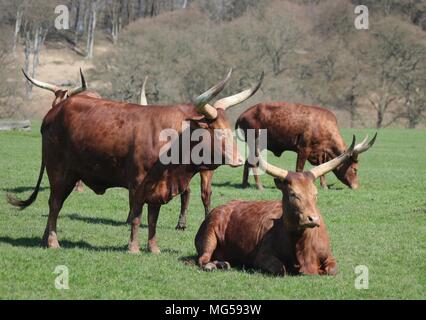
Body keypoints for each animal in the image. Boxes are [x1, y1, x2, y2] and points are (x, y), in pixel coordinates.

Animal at [8, 69, 262, 254]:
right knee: (54, 204)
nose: (239, 159)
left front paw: (154, 248)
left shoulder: (159, 189)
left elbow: (153, 219)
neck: (173, 141)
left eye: (229, 128)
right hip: (60, 172)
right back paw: (53, 242)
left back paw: (44, 239)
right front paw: (133, 248)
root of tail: (54, 112)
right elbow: (138, 217)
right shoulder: (139, 185)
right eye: (215, 130)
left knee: (54, 204)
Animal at [194, 135, 376, 276]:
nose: (312, 219)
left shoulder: (330, 256)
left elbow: (333, 270)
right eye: (293, 194)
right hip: (209, 235)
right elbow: (281, 269)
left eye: (315, 193)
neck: (303, 247)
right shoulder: (262, 256)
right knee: (203, 260)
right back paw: (217, 264)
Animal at [235, 103, 378, 190]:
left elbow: (322, 167)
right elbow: (299, 168)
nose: (355, 186)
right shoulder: (303, 148)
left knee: (248, 162)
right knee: (253, 163)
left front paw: (324, 186)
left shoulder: (321, 152)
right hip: (256, 143)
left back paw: (244, 184)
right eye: (355, 169)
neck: (323, 125)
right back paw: (259, 186)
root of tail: (243, 114)